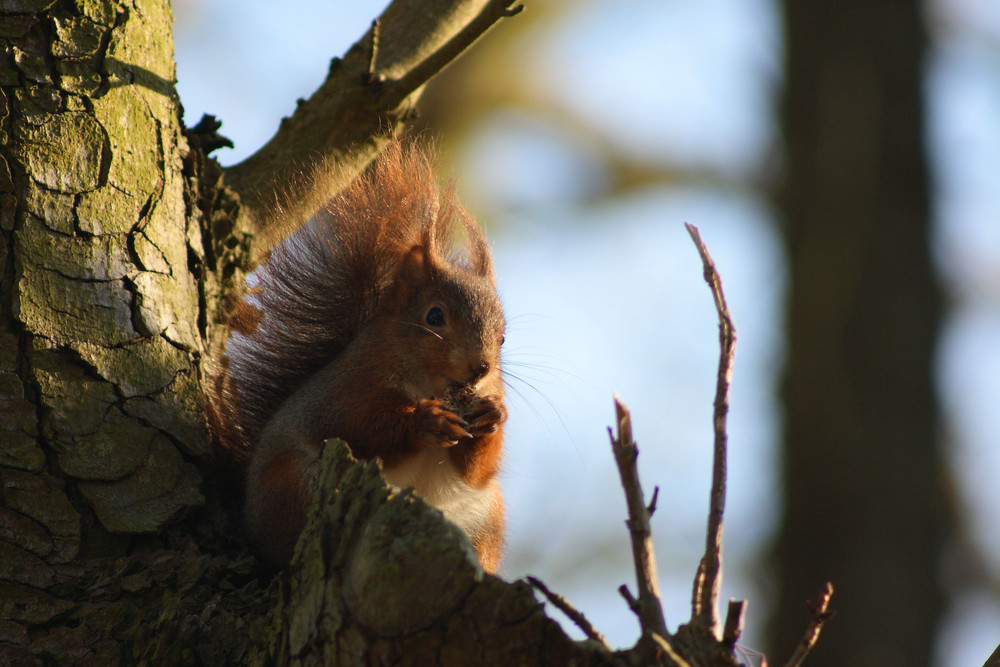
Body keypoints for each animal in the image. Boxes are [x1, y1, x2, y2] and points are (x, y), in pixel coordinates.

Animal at [211, 140, 508, 568]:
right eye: (435, 316)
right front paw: (425, 420)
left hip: (485, 520)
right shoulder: (347, 390)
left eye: (502, 337)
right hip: (294, 482)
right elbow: (357, 429)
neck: (428, 385)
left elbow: (476, 472)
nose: (481, 368)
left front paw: (492, 415)